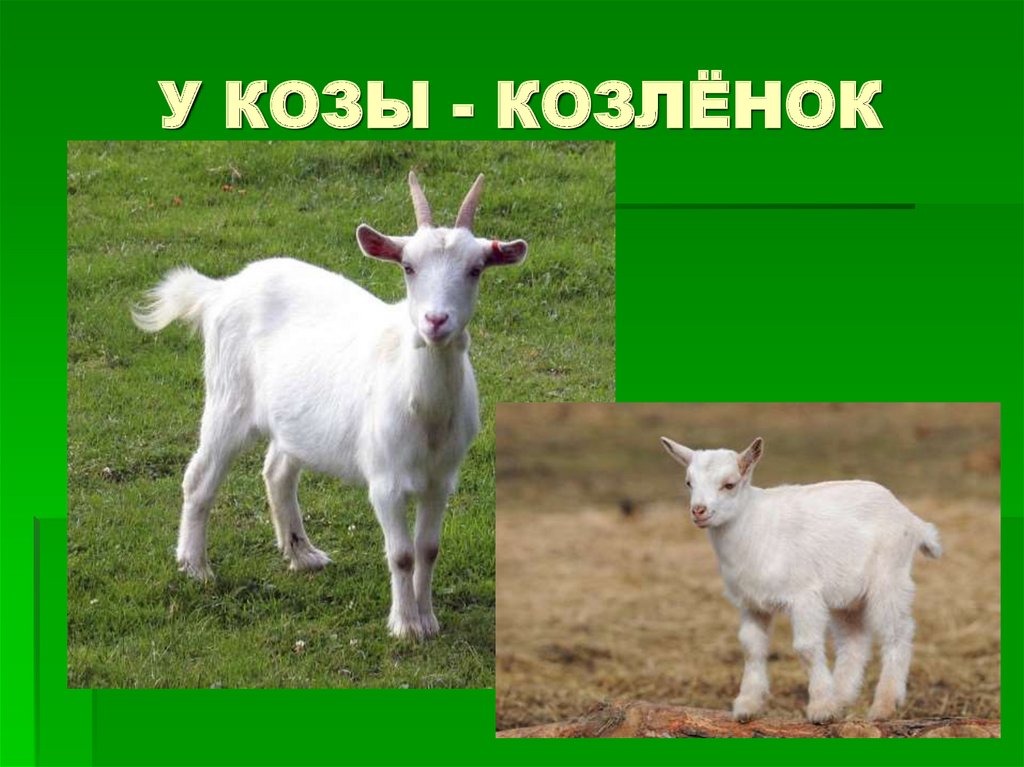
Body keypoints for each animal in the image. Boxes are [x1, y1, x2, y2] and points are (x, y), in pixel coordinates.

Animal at [132, 171, 527, 639]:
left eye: (475, 269)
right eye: (408, 267)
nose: (435, 321)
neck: (424, 410)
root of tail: (221, 289)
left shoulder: (442, 479)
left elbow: (428, 549)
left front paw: (428, 620)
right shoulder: (385, 480)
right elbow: (402, 554)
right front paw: (406, 625)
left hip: (293, 420)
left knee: (277, 472)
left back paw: (301, 553)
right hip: (228, 399)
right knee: (199, 478)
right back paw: (195, 566)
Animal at [659, 436, 942, 722]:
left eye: (729, 484)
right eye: (689, 482)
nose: (698, 511)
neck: (754, 525)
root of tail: (912, 520)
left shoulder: (804, 596)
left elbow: (806, 647)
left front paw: (820, 708)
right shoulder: (751, 604)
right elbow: (751, 648)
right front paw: (747, 706)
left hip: (889, 577)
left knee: (898, 632)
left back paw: (883, 706)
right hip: (846, 595)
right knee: (854, 641)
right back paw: (840, 698)